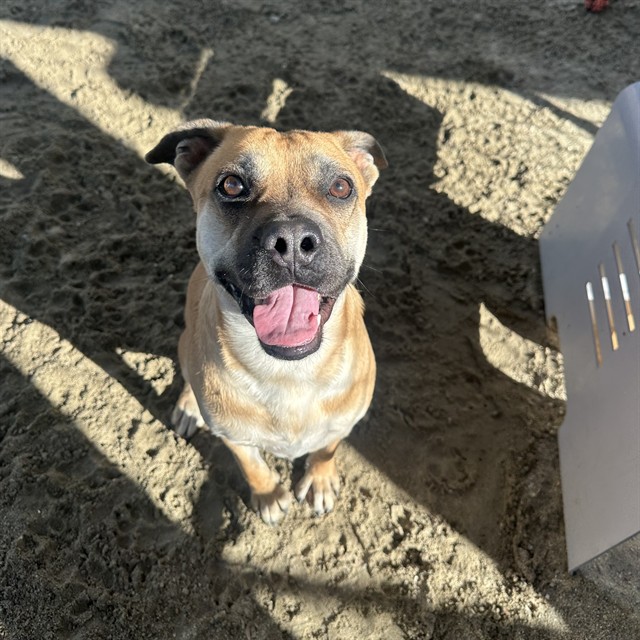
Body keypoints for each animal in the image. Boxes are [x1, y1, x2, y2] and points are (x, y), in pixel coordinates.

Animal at [146, 120, 386, 524]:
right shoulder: (234, 437)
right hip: (185, 344)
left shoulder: (343, 422)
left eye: (341, 187)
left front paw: (320, 479)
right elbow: (252, 466)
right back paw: (189, 407)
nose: (291, 240)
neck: (289, 374)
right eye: (231, 185)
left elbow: (327, 449)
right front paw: (269, 495)